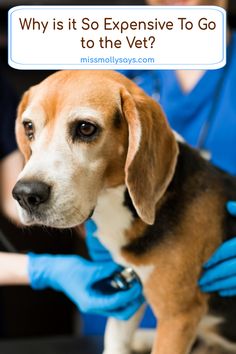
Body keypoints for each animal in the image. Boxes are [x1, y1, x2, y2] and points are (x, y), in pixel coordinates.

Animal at [12, 70, 236, 354]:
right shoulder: (131, 286)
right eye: (28, 127)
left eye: (85, 128)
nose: (25, 195)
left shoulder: (178, 316)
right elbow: (115, 339)